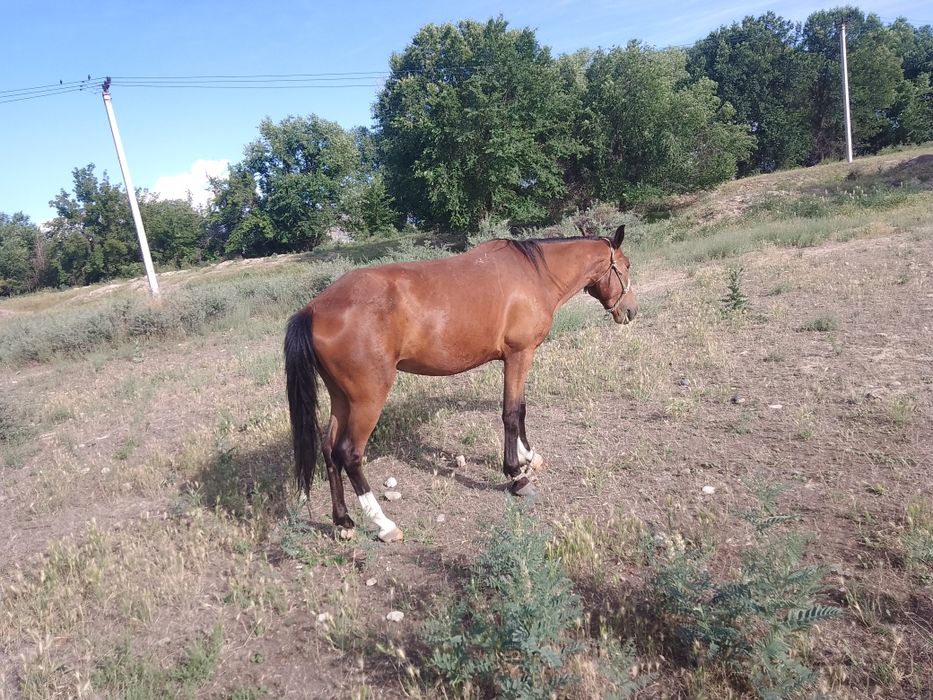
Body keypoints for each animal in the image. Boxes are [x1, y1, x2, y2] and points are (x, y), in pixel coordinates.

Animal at [284, 224, 638, 542]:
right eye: (626, 266)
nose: (631, 311)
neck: (534, 275)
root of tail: (314, 309)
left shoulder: (520, 358)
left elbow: (520, 408)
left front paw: (529, 457)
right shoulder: (519, 355)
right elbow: (511, 413)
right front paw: (516, 475)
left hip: (342, 398)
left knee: (329, 450)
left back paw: (343, 522)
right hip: (368, 400)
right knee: (349, 454)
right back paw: (384, 524)